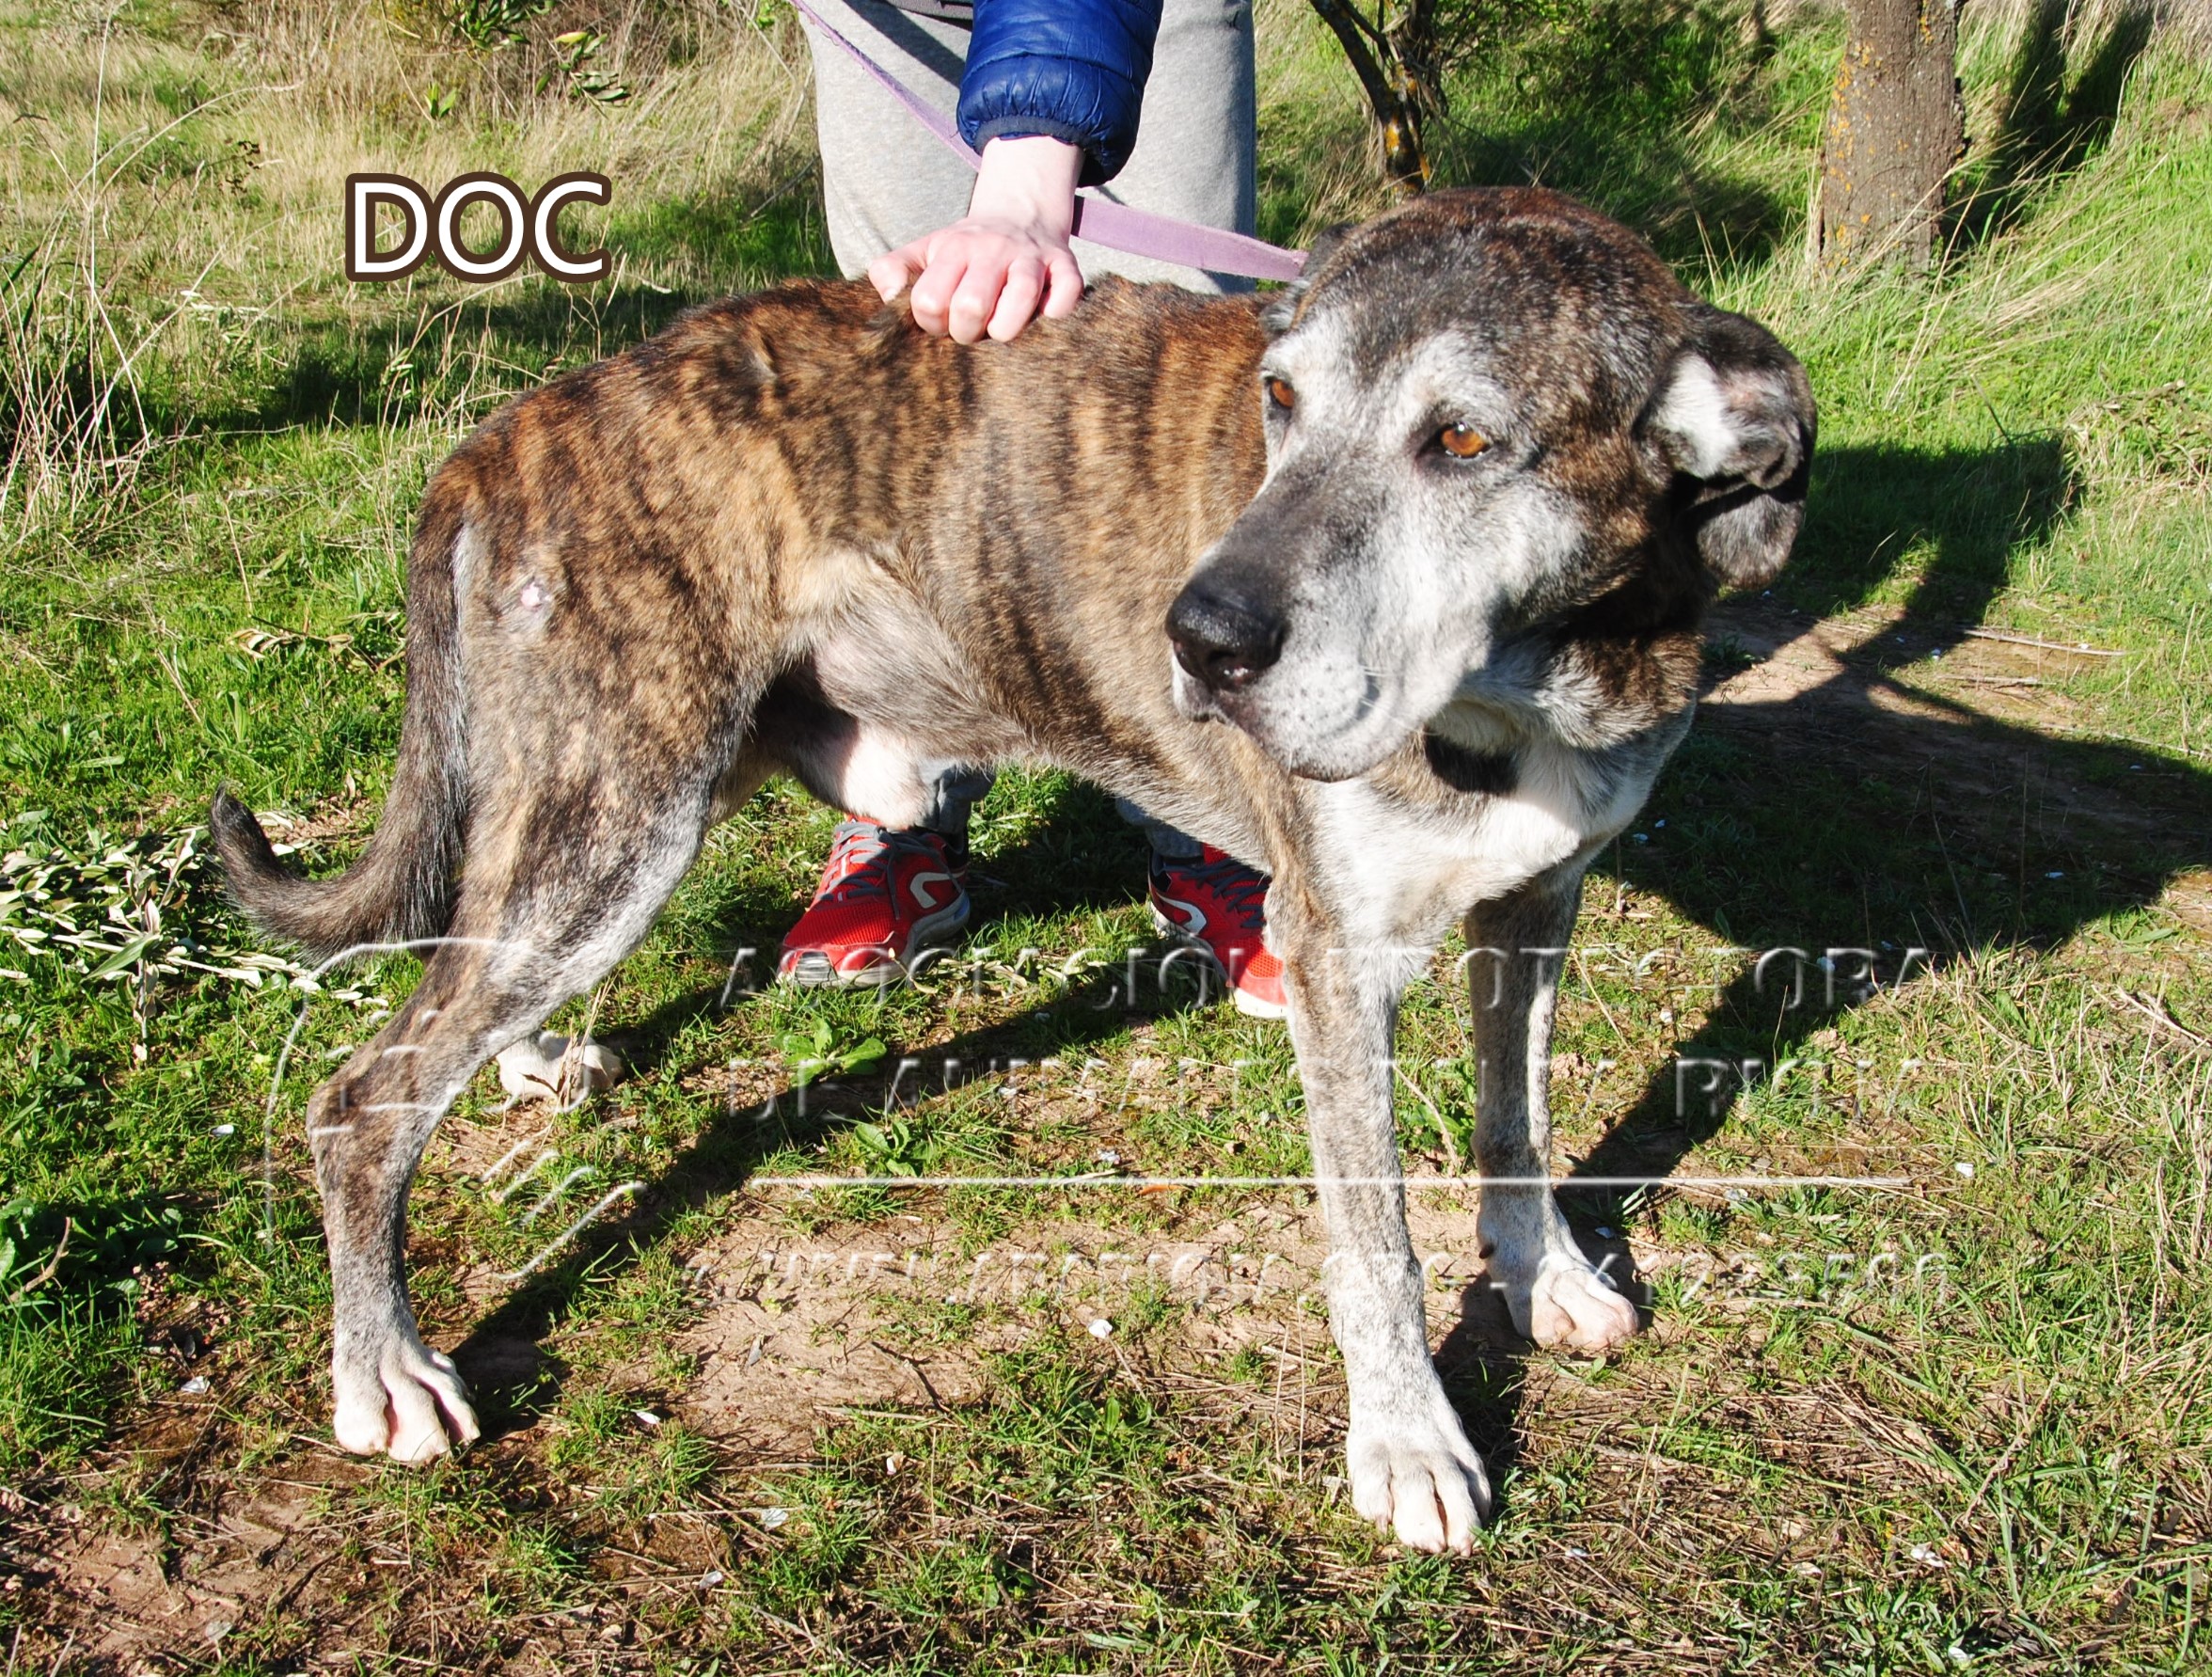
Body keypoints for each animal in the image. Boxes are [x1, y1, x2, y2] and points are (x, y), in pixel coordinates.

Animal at [212, 186, 1812, 1554]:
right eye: (1280, 402)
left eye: (1466, 443)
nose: (1198, 640)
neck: (1538, 670)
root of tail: (507, 430)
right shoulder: (1342, 959)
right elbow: (1378, 1242)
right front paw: (1409, 1440)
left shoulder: (1540, 900)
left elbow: (1516, 1120)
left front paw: (1546, 1276)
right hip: (620, 815)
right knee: (362, 1098)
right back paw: (386, 1363)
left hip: (604, 818)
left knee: (461, 973)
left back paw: (531, 1060)